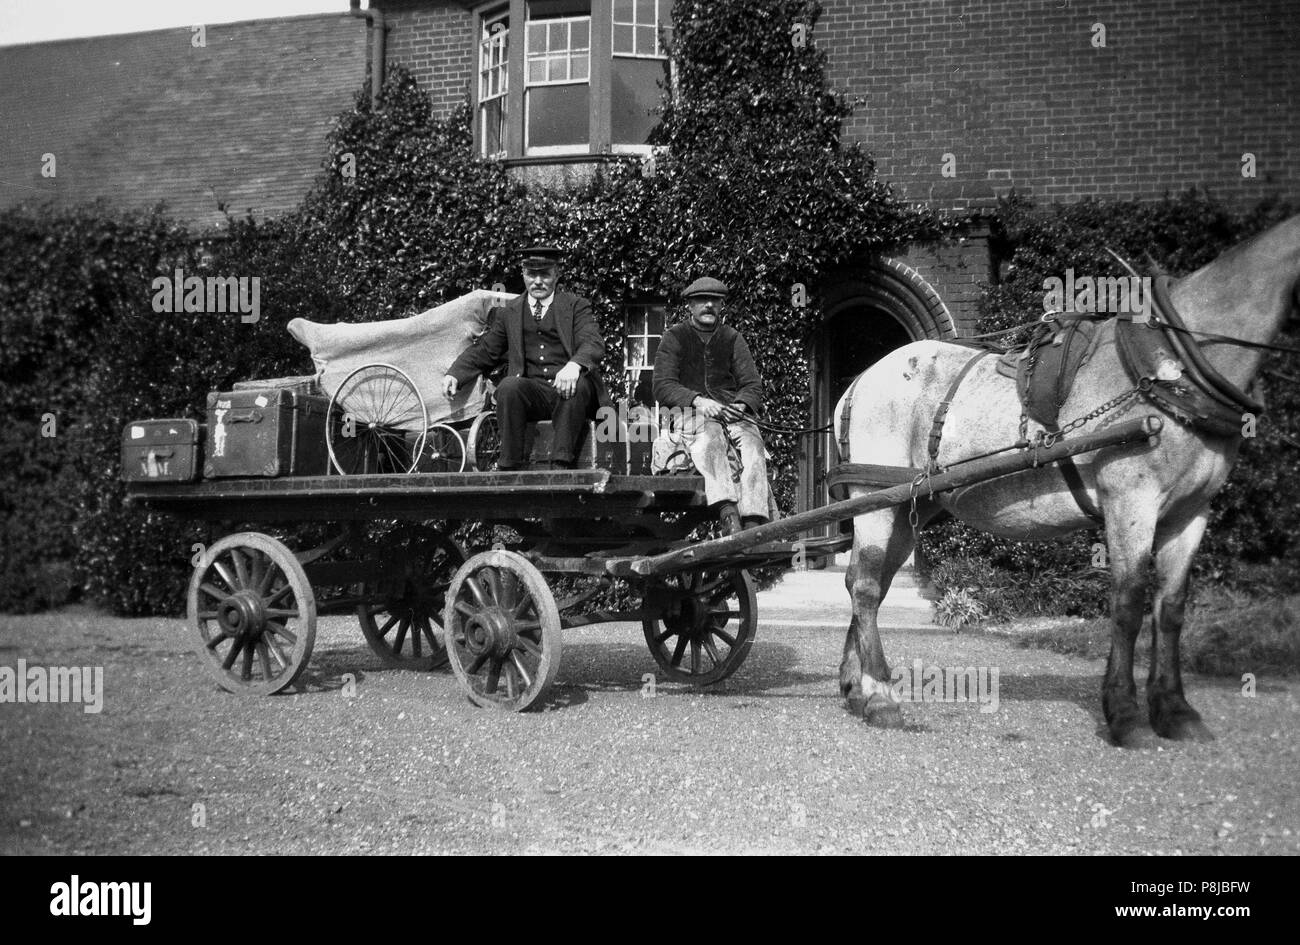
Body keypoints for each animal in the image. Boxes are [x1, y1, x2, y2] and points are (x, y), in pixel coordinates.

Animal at [832, 213, 1300, 748]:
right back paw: (879, 695)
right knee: (866, 585)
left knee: (866, 581)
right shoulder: (1130, 500)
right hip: (874, 499)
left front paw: (1175, 710)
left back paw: (855, 685)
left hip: (911, 504)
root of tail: (858, 382)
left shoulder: (1190, 512)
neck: (1174, 369)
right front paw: (1124, 714)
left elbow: (1171, 608)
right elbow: (1128, 601)